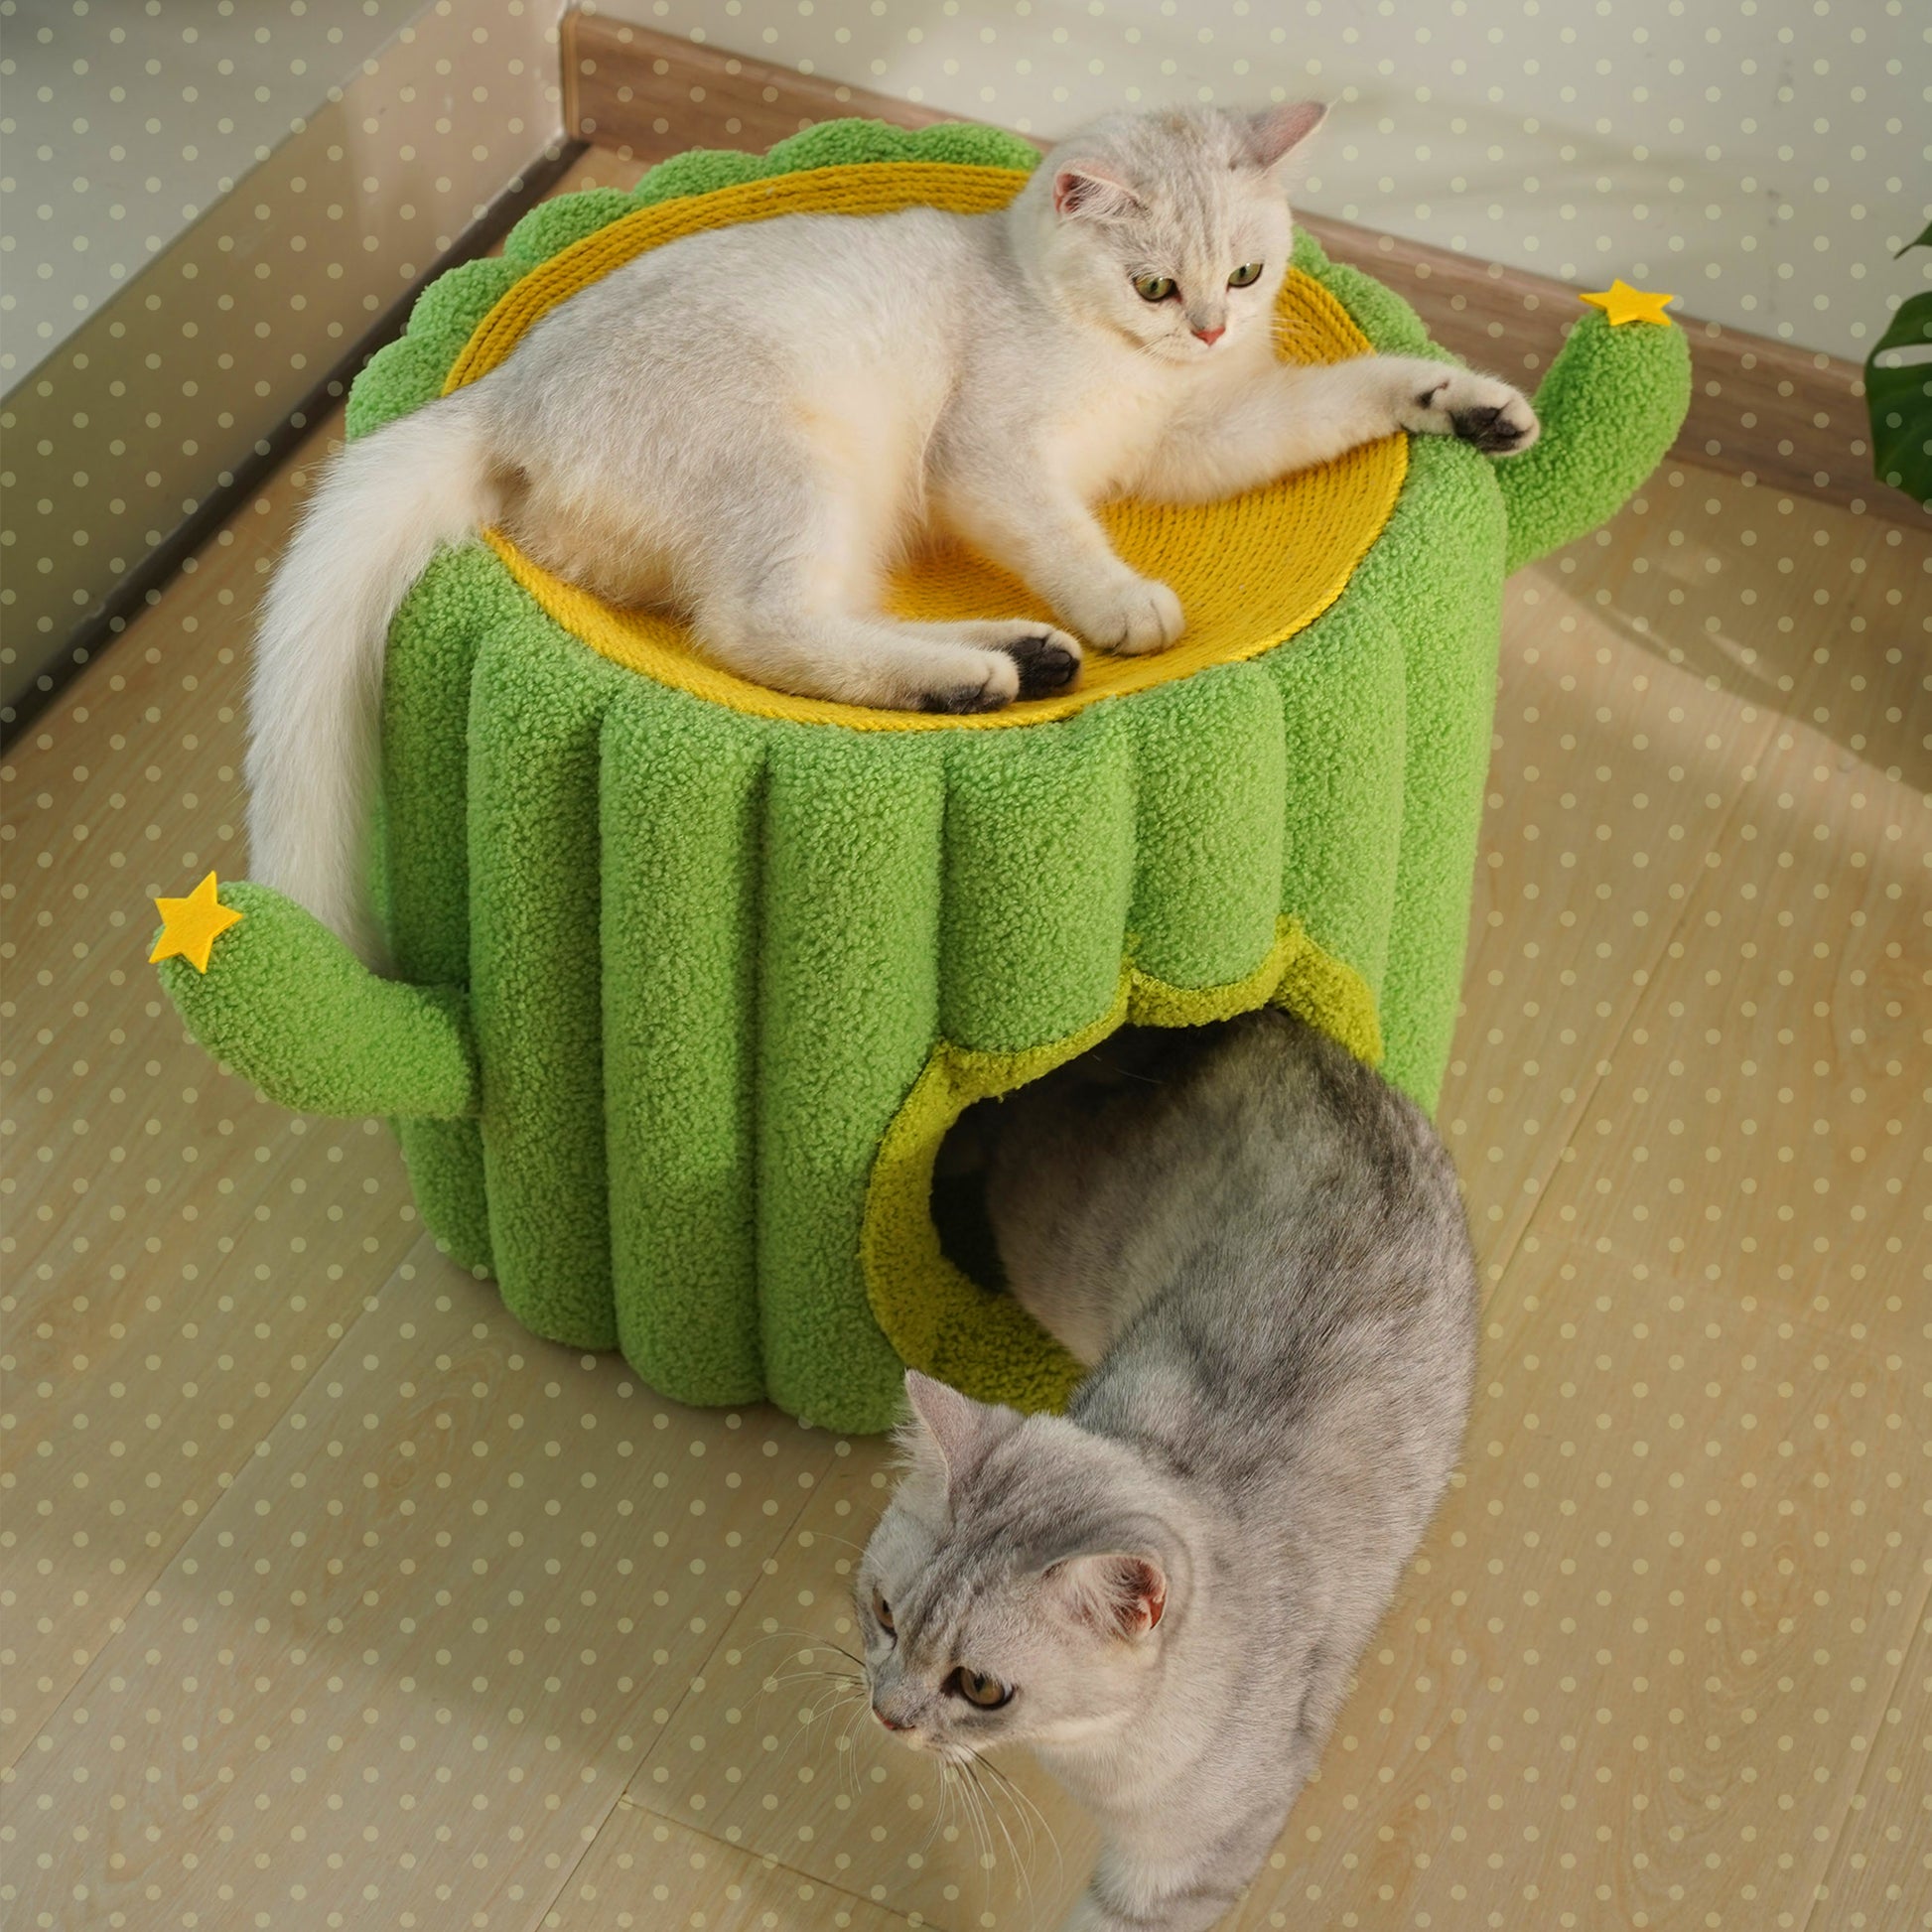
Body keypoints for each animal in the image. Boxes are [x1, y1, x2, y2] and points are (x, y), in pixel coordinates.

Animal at [245, 97, 1538, 958]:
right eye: (1155, 287)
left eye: (1247, 274)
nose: (1211, 330)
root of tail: (504, 393)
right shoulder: (989, 461)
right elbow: (1065, 535)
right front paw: (1122, 601)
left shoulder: (1200, 438)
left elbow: (1336, 398)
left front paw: (1463, 400)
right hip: (798, 465)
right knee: (755, 628)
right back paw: (977, 674)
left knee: (825, 619)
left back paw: (1010, 657)